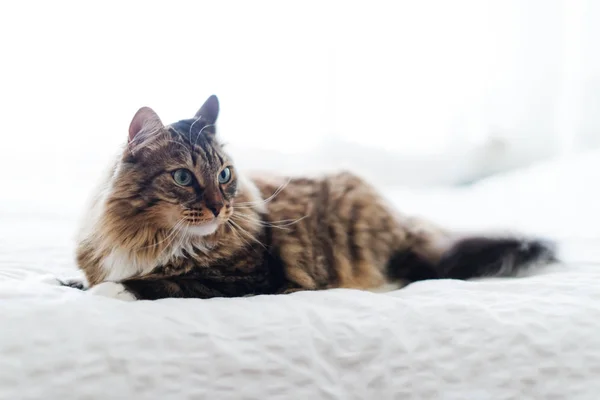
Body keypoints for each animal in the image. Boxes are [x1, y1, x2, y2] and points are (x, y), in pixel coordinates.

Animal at [75, 94, 556, 300]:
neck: (150, 237)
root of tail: (402, 221)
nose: (220, 207)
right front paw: (74, 285)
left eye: (225, 175)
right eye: (182, 177)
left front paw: (111, 291)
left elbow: (160, 283)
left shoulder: (251, 279)